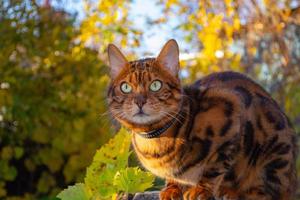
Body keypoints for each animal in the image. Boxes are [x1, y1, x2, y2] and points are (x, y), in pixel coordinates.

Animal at [106, 39, 296, 200]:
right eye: (125, 87)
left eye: (155, 85)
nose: (139, 101)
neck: (154, 142)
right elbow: (174, 178)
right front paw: (172, 189)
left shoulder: (231, 111)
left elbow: (215, 167)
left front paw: (201, 189)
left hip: (273, 156)